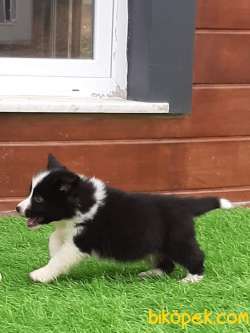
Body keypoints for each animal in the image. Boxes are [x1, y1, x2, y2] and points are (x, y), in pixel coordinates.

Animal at [16, 154, 232, 282]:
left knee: (195, 255)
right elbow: (54, 240)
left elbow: (61, 257)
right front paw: (52, 253)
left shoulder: (81, 241)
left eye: (38, 198)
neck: (80, 202)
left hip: (176, 240)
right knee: (166, 263)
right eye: (30, 193)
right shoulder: (67, 229)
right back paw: (152, 273)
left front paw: (41, 274)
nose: (18, 208)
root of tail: (184, 204)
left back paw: (192, 278)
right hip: (154, 243)